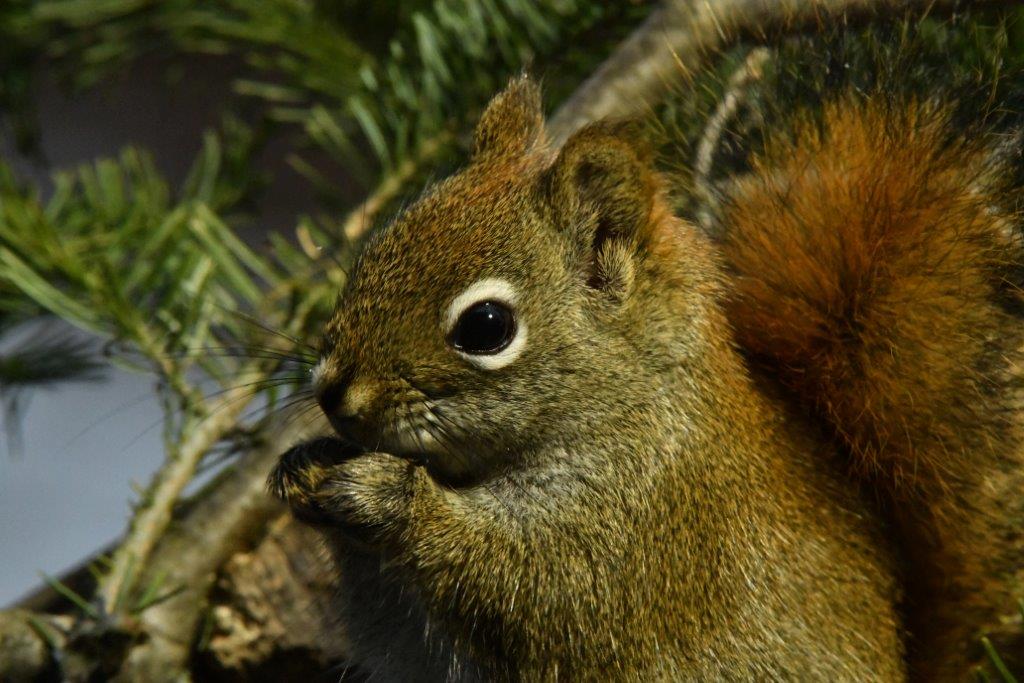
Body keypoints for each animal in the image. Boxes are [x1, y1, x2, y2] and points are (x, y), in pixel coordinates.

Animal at [269, 30, 1024, 682]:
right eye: (378, 244)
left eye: (486, 326)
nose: (334, 392)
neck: (629, 397)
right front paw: (304, 465)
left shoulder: (645, 529)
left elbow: (534, 586)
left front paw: (385, 494)